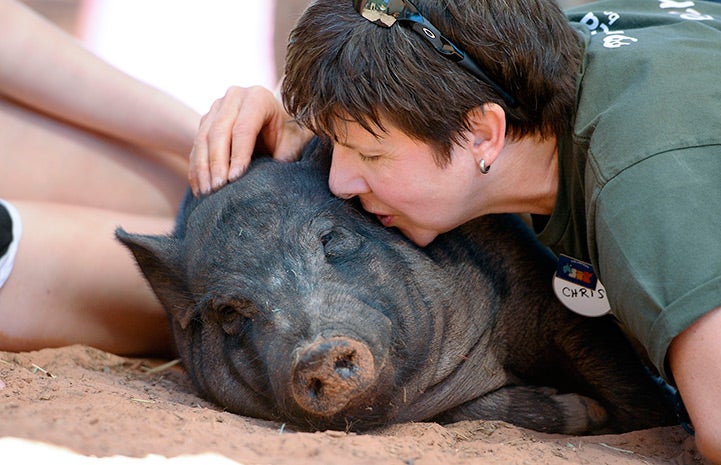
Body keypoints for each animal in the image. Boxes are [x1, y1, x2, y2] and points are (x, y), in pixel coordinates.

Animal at [116, 136, 676, 434]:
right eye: (230, 312)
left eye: (331, 238)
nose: (319, 351)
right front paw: (584, 411)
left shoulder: (543, 289)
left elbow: (617, 375)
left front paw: (656, 413)